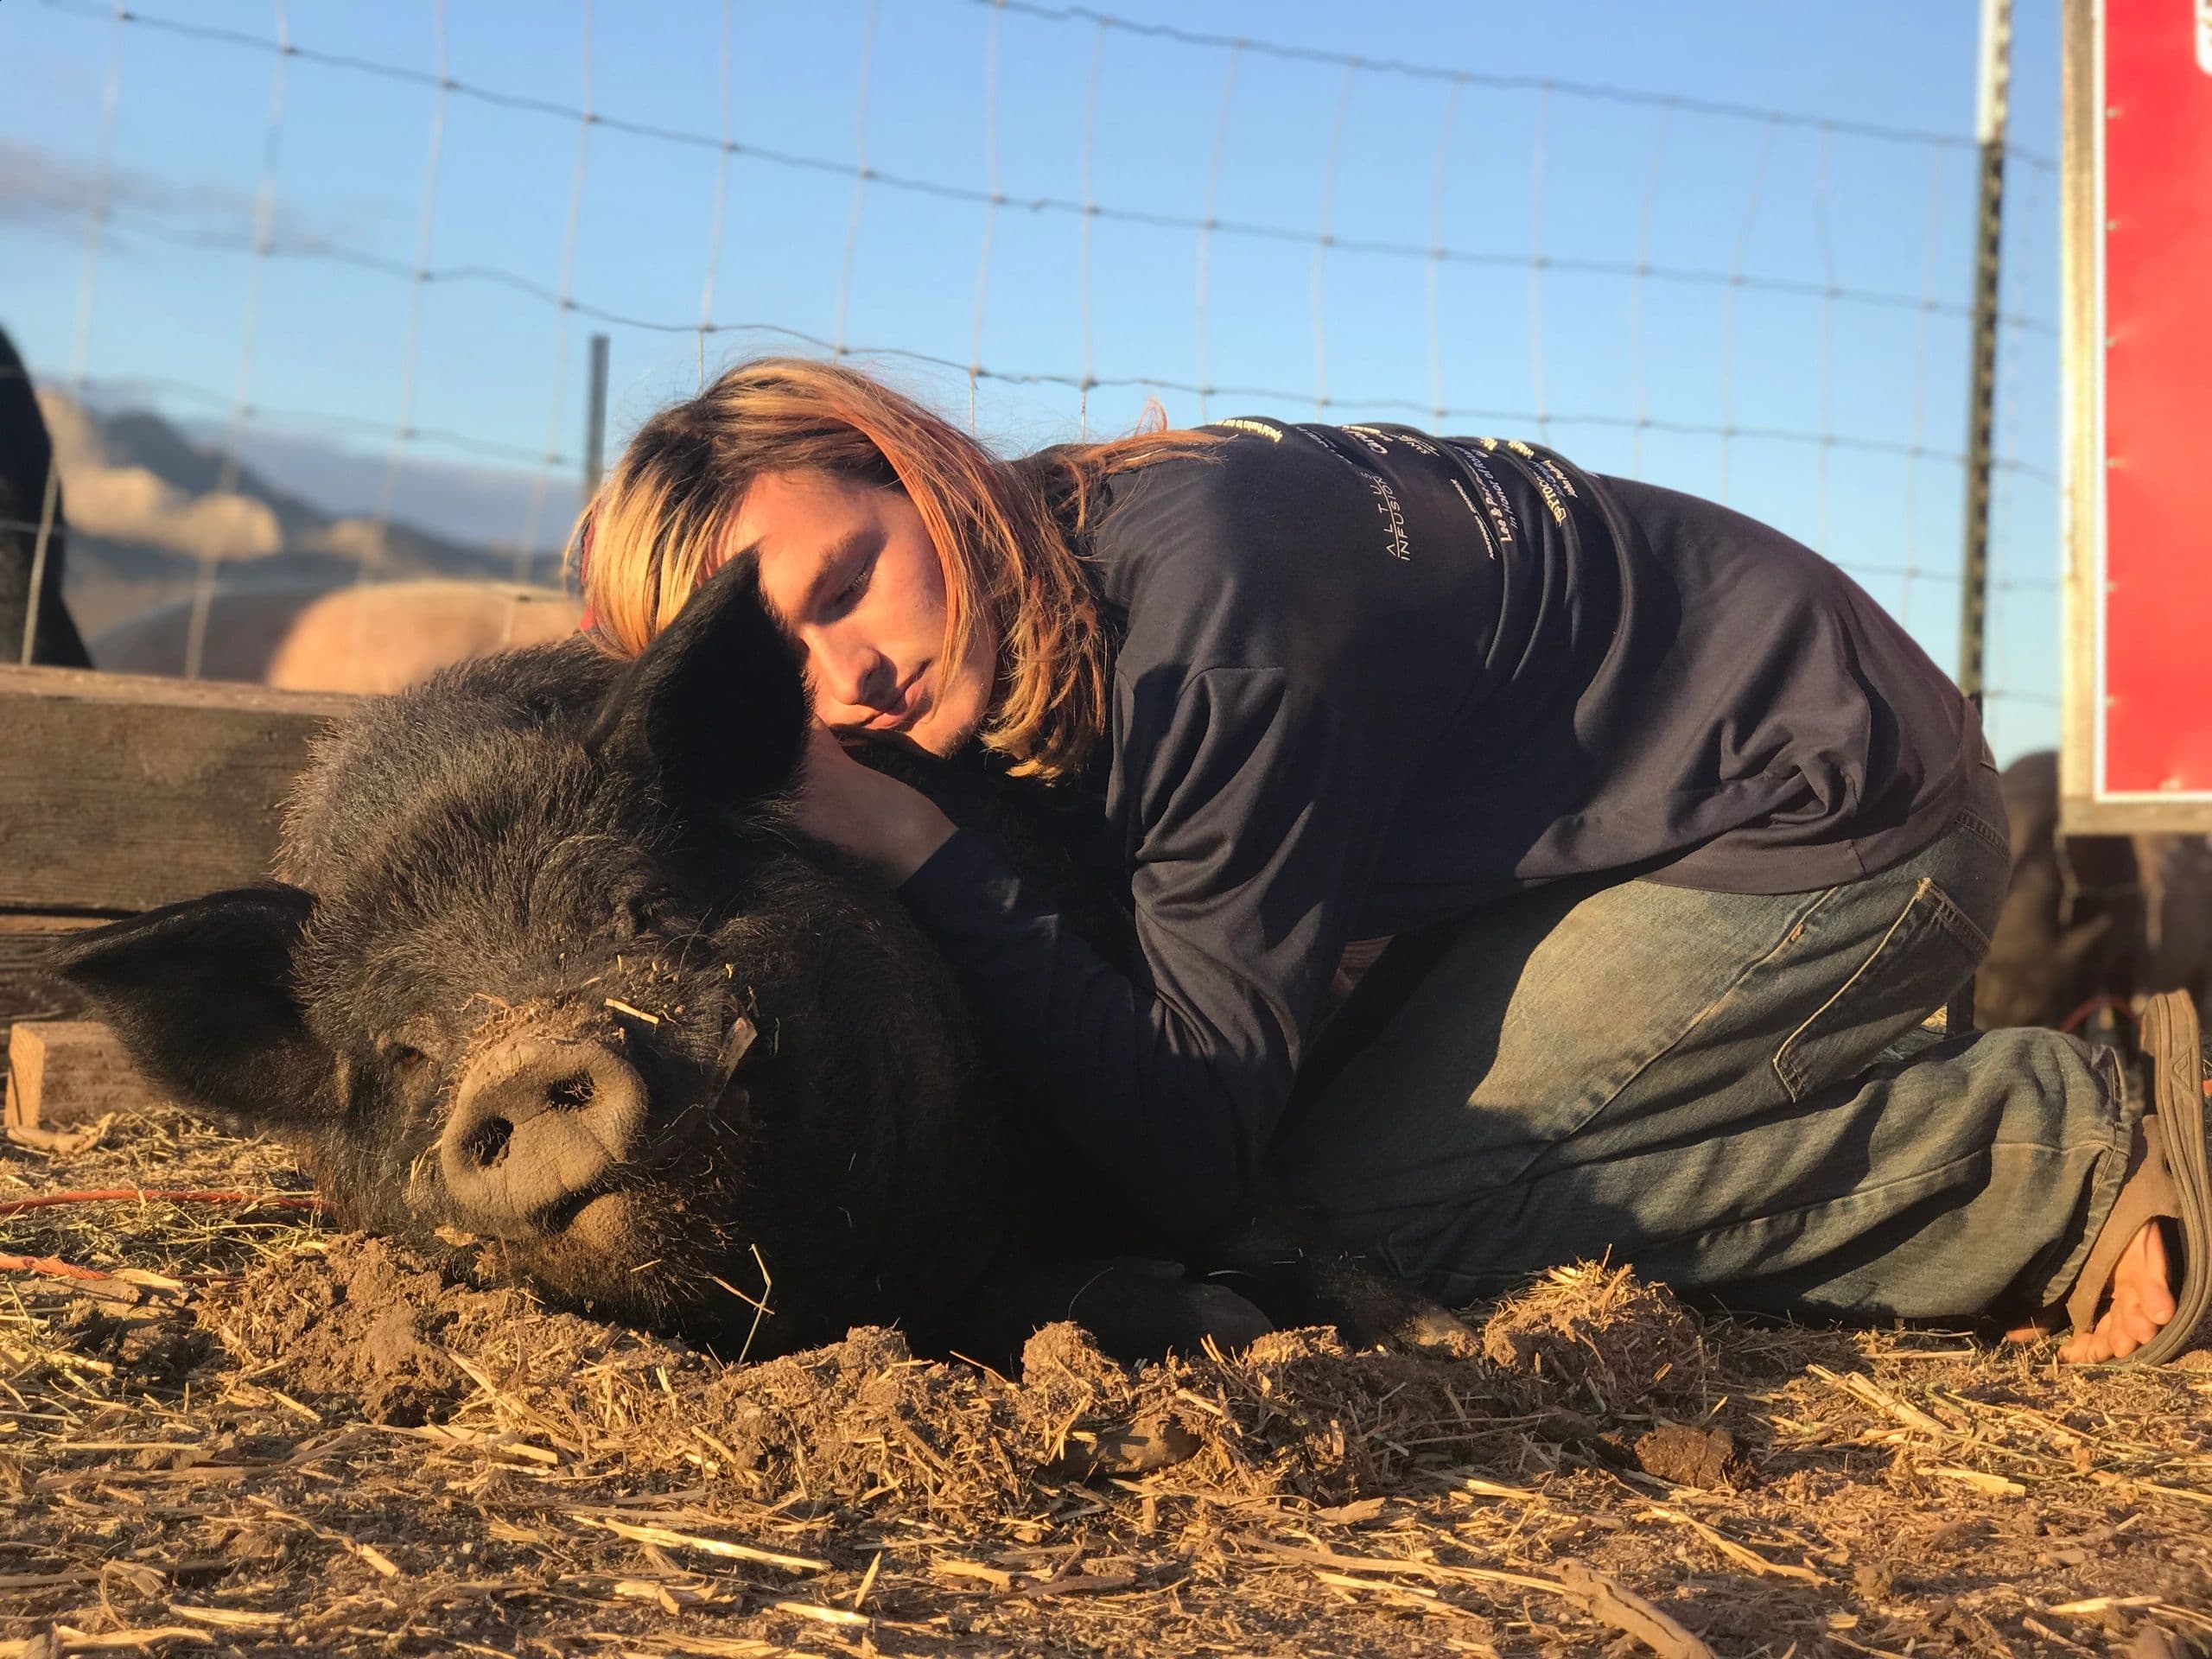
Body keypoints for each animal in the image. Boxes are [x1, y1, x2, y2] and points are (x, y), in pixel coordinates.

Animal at [50, 558, 1466, 1363]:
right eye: (403, 1050)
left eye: (642, 907)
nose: (527, 1062)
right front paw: (1218, 1322)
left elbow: (1258, 1204)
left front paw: (1431, 1335)